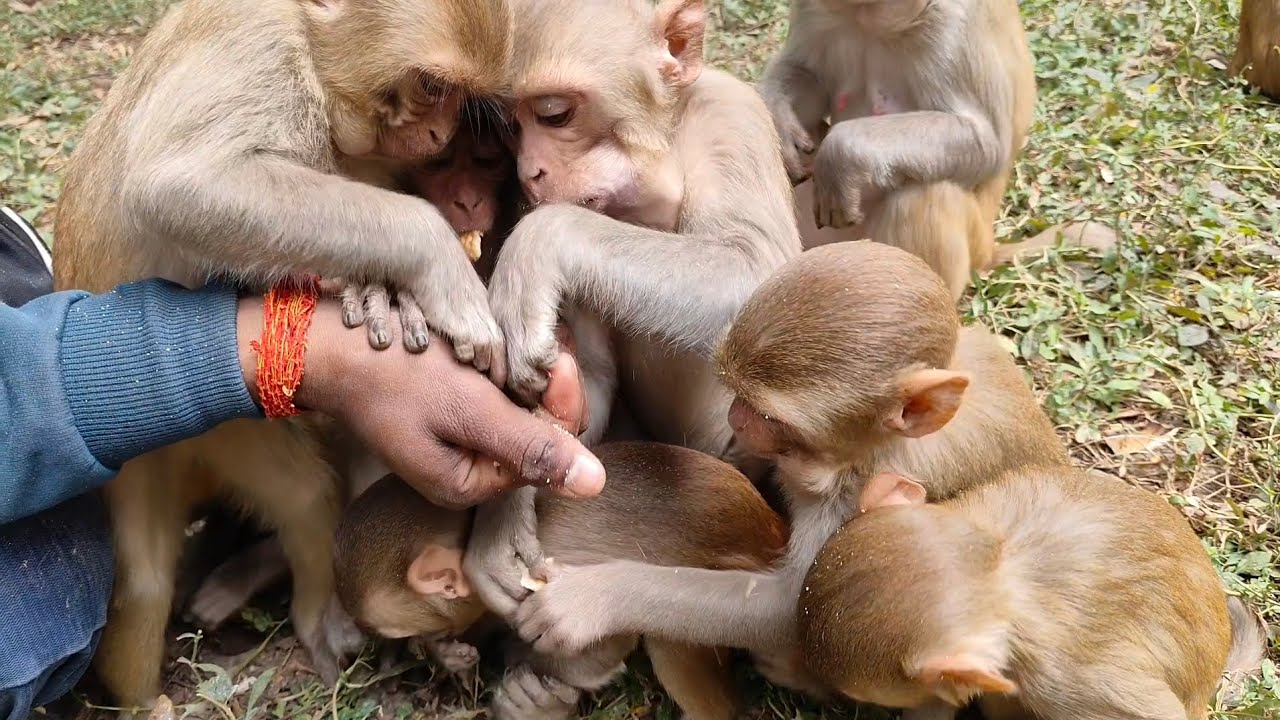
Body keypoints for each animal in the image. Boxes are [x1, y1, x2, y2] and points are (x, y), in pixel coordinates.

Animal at [334, 442, 790, 720]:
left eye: (402, 630)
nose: (415, 643)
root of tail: (771, 528)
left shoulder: (547, 565)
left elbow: (603, 645)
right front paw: (448, 654)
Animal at [511, 241, 1069, 681]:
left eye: (768, 415)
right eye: (734, 392)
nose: (735, 417)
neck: (865, 450)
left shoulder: (868, 487)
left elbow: (789, 610)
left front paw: (590, 599)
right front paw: (563, 410)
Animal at [757, 0, 1037, 300]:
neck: (869, 16)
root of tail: (989, 249)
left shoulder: (955, 22)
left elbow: (985, 142)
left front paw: (839, 155)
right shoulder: (810, 9)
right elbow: (804, 72)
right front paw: (779, 118)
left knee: (925, 196)